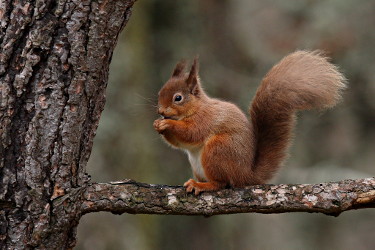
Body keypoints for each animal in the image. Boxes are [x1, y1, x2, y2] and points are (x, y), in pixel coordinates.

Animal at [153, 51, 346, 195]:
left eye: (178, 98)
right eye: (160, 92)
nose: (161, 111)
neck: (196, 107)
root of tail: (246, 175)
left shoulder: (206, 118)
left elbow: (192, 132)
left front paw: (167, 125)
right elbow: (179, 143)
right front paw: (157, 124)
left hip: (218, 149)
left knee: (222, 183)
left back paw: (203, 185)